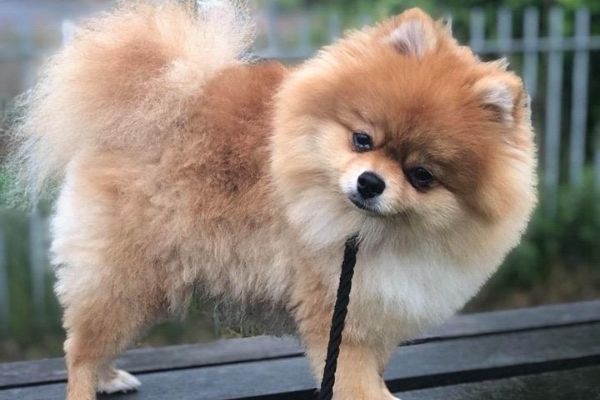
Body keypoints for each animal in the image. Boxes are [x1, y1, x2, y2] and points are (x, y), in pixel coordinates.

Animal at [8, 1, 536, 398]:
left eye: (421, 175)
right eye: (362, 140)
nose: (370, 182)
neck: (377, 233)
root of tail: (156, 101)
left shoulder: (378, 308)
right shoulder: (338, 315)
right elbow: (358, 383)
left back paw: (109, 378)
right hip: (126, 278)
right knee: (80, 349)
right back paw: (88, 384)